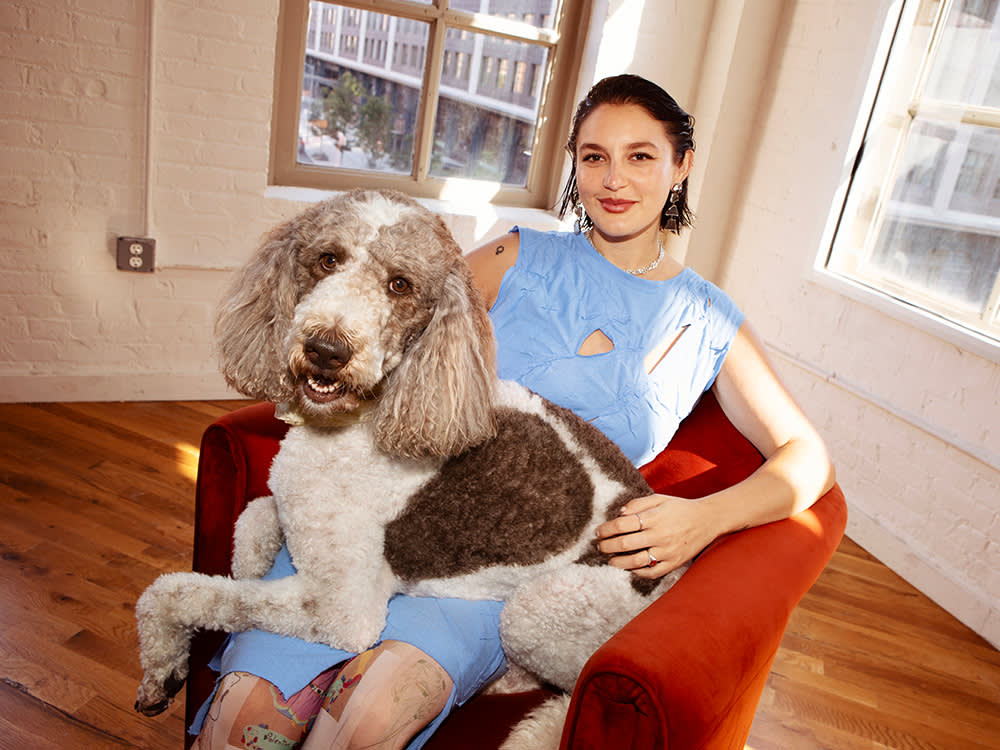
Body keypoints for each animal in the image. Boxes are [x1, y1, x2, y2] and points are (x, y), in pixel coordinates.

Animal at [135, 189, 688, 750]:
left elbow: (174, 591)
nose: (326, 350)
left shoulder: (342, 611)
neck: (367, 416)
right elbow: (251, 516)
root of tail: (674, 578)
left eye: (400, 284)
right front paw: (251, 565)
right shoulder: (296, 504)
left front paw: (162, 667)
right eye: (327, 259)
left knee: (569, 689)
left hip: (538, 609)